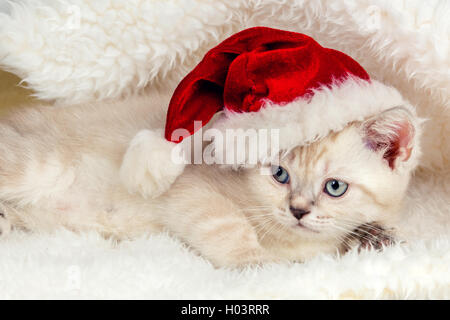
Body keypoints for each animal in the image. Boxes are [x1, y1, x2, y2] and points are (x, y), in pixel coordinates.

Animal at [0, 93, 418, 268]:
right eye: (280, 174)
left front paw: (374, 239)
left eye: (335, 187)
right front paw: (256, 266)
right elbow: (230, 228)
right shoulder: (192, 187)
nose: (298, 210)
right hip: (35, 164)